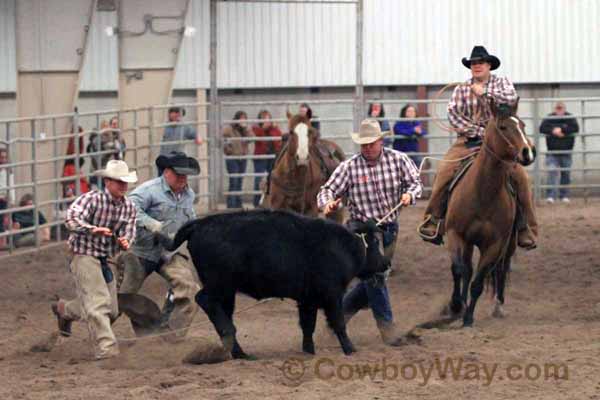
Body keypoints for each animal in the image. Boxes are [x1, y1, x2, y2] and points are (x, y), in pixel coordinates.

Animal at [440, 98, 536, 326]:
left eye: (522, 125)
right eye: (503, 127)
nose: (527, 152)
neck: (482, 193)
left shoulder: (495, 244)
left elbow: (479, 281)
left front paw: (468, 317)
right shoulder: (456, 234)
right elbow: (459, 270)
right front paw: (456, 305)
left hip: (510, 244)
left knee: (501, 269)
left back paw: (498, 306)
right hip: (467, 242)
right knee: (466, 269)